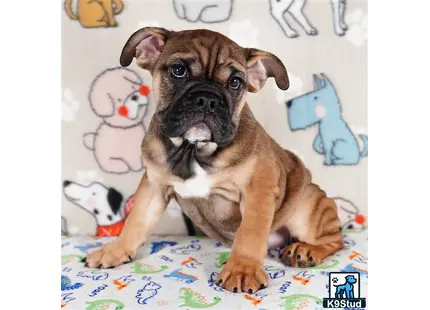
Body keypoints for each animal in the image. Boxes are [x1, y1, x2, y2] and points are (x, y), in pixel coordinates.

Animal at [85, 27, 344, 294]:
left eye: (235, 82)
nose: (207, 99)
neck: (193, 149)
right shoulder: (154, 186)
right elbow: (136, 221)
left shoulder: (259, 189)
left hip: (307, 208)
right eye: (178, 70)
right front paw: (115, 250)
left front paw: (243, 269)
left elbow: (250, 232)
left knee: (334, 240)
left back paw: (305, 250)